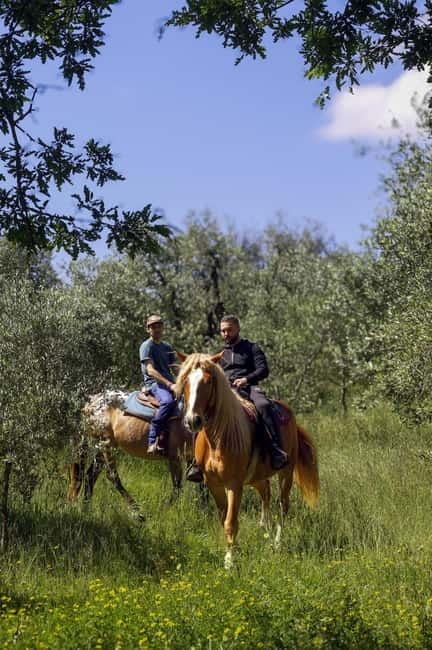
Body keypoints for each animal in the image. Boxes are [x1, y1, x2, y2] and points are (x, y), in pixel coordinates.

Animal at [175, 353, 319, 568]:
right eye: (185, 381)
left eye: (208, 382)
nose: (193, 421)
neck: (218, 438)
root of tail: (288, 412)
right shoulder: (213, 484)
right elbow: (223, 518)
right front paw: (234, 550)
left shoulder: (234, 484)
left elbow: (230, 521)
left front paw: (229, 561)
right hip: (256, 477)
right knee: (265, 493)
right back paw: (265, 529)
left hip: (286, 472)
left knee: (282, 505)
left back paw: (277, 542)